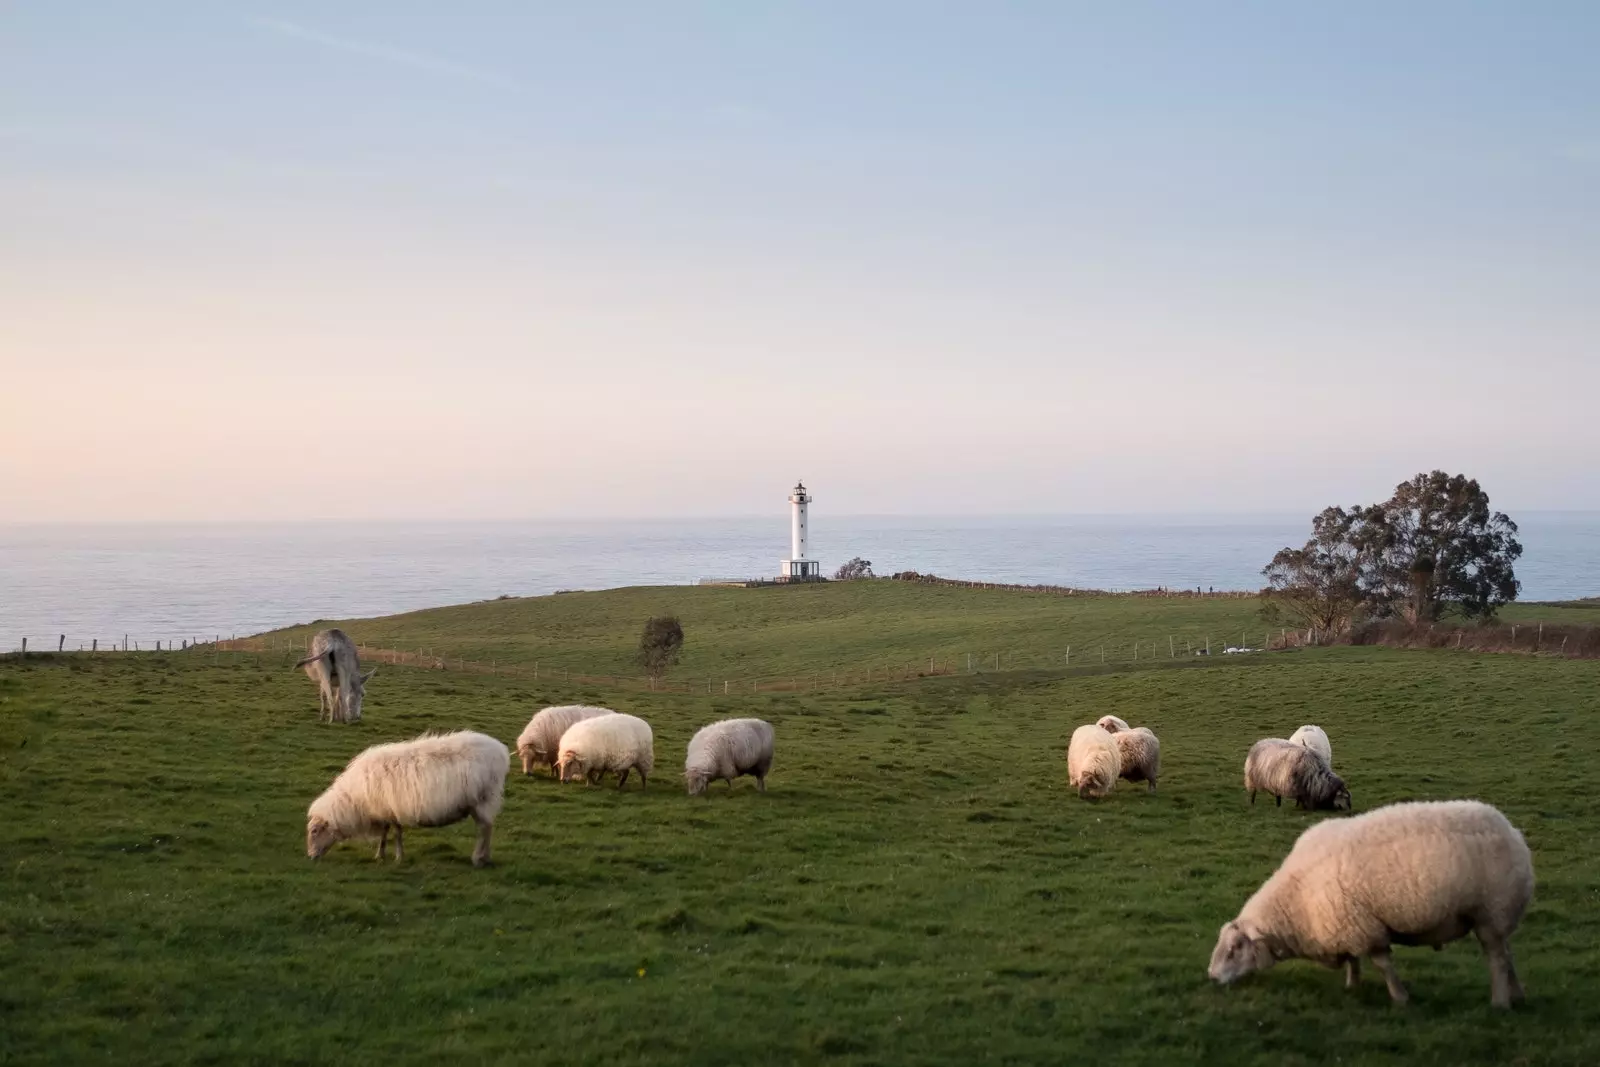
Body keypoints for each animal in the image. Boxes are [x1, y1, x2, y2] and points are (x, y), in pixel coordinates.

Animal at [300, 729, 499, 870]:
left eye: (314, 831)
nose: (311, 856)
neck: (354, 800)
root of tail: (499, 750)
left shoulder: (389, 809)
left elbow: (395, 834)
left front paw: (397, 857)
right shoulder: (386, 810)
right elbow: (386, 833)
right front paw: (381, 855)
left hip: (483, 799)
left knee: (485, 829)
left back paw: (479, 859)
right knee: (486, 828)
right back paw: (486, 858)